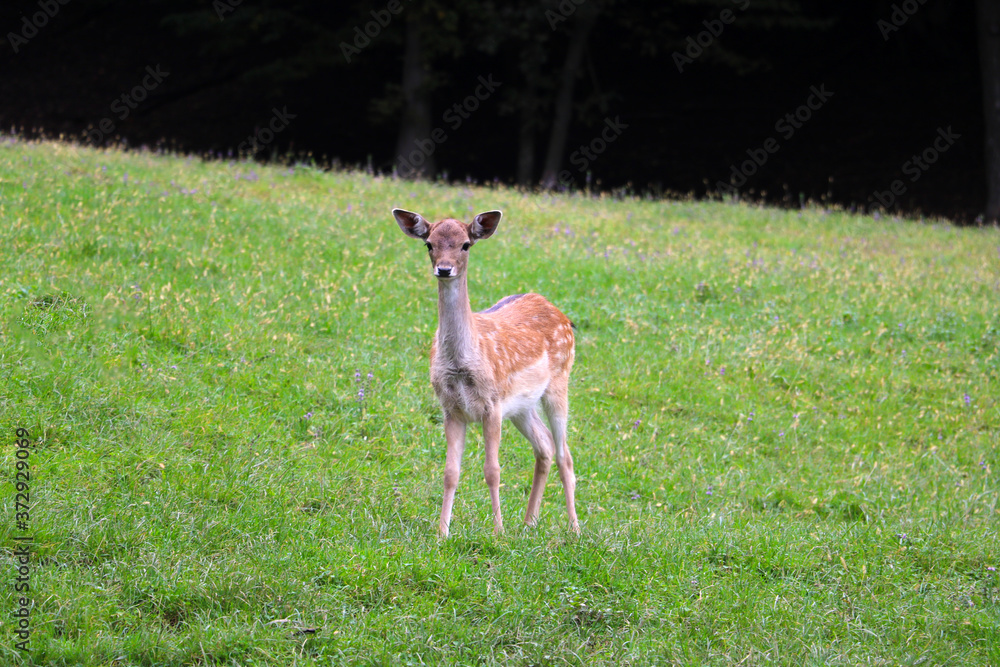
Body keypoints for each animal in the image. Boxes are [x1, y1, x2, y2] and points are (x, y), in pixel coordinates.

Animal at [392, 208, 579, 538]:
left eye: (466, 244)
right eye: (429, 244)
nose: (444, 269)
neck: (460, 364)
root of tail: (562, 315)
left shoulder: (492, 405)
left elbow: (492, 470)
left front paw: (498, 532)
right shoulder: (451, 408)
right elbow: (450, 472)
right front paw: (442, 533)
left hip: (559, 381)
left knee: (564, 455)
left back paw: (573, 529)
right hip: (521, 406)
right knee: (544, 445)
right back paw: (529, 522)